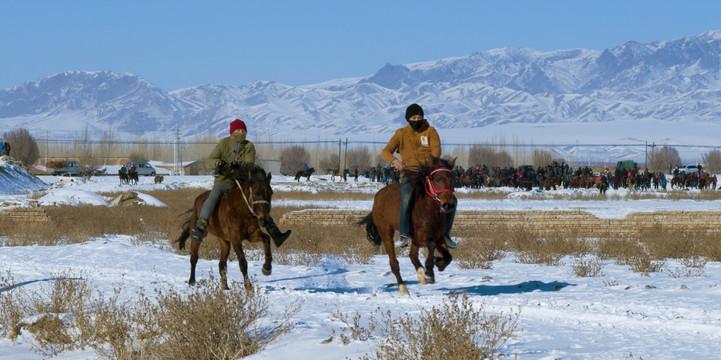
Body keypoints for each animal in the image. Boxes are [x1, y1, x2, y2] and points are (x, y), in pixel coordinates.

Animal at [358, 157, 452, 296]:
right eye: (437, 179)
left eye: (452, 178)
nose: (448, 205)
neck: (432, 211)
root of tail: (378, 195)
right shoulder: (421, 236)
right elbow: (431, 244)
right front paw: (430, 271)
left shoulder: (439, 236)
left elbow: (448, 257)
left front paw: (438, 264)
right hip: (386, 231)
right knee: (394, 263)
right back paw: (404, 288)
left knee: (412, 256)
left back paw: (421, 275)